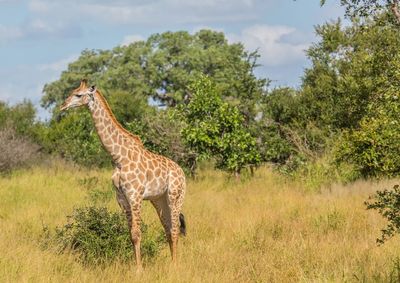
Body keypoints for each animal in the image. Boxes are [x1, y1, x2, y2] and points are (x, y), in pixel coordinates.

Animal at [60, 80, 187, 270]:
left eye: (78, 94)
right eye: (72, 92)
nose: (63, 105)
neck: (118, 158)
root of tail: (182, 173)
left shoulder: (135, 196)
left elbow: (137, 233)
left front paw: (139, 270)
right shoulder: (122, 198)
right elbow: (131, 234)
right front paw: (137, 266)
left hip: (175, 196)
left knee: (175, 228)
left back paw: (176, 266)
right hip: (159, 199)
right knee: (167, 227)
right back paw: (173, 262)